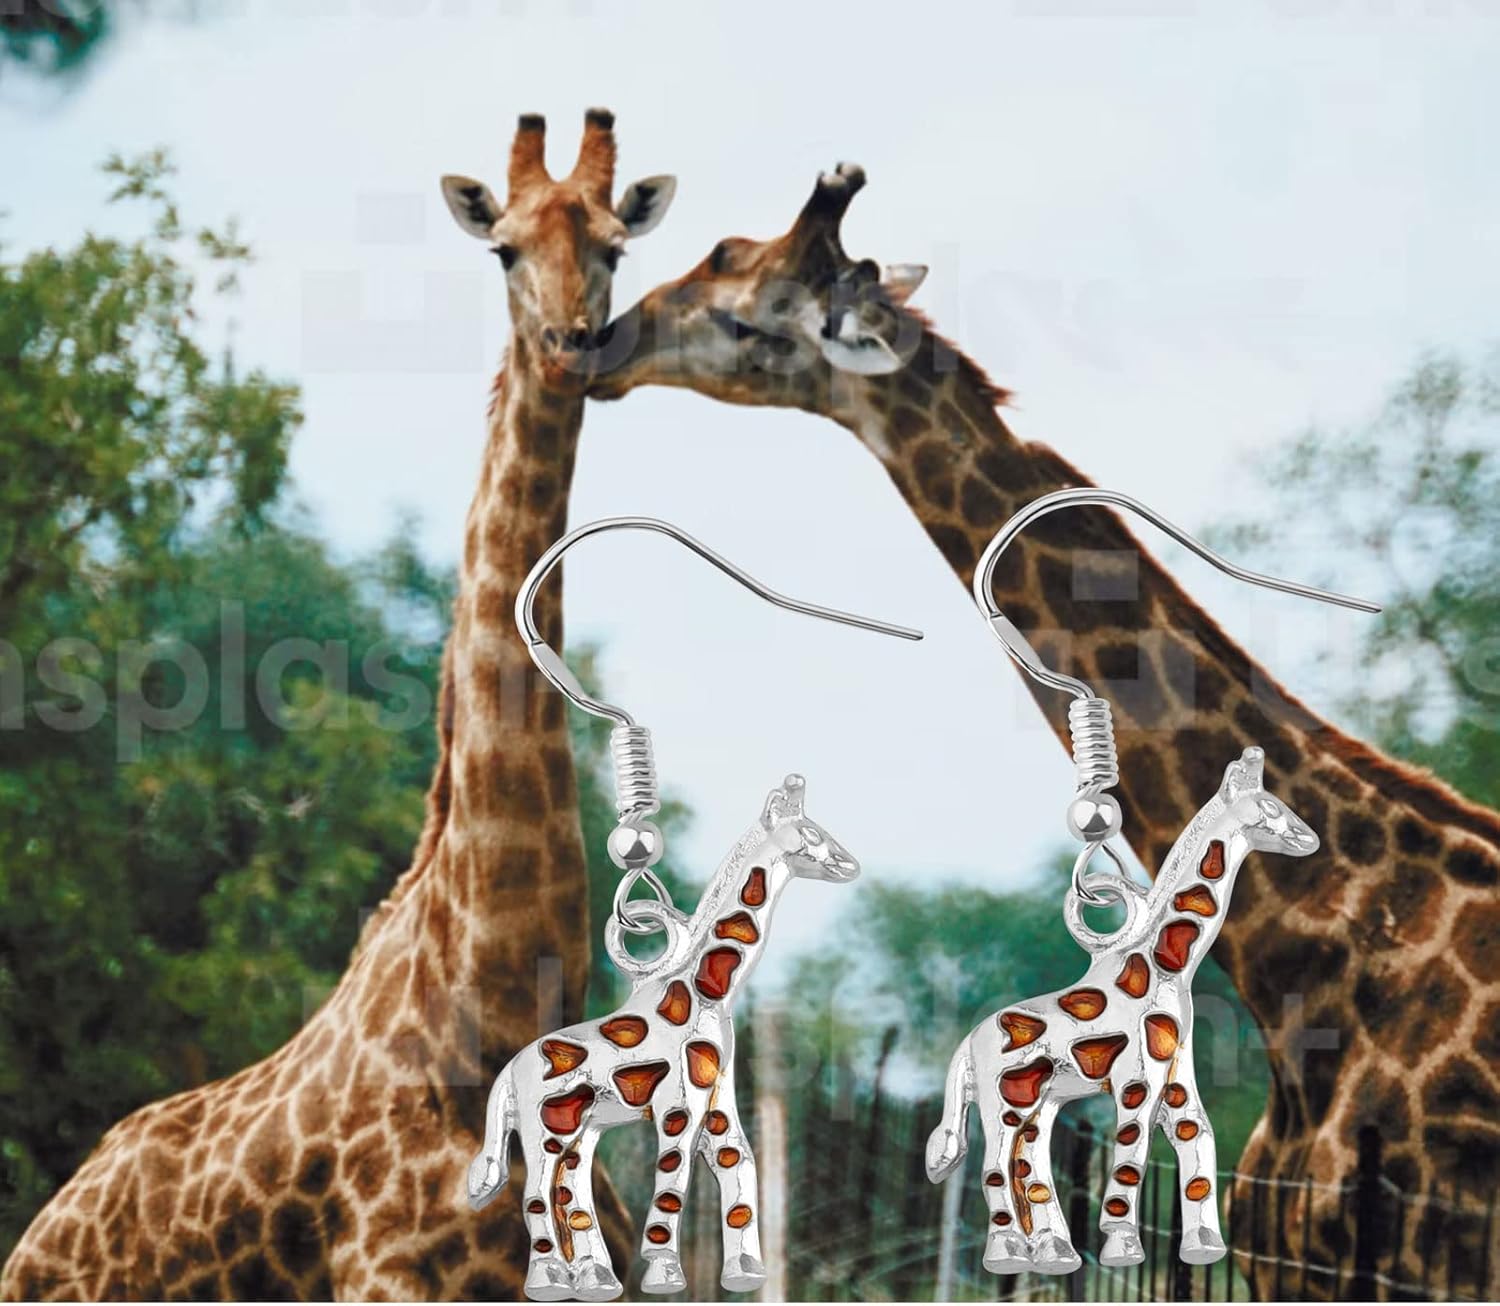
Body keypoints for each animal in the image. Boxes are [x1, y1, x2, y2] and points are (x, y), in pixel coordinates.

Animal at [1, 110, 678, 1300]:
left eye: (612, 246)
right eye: (503, 249)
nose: (571, 344)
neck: (488, 1009)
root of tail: (36, 1235)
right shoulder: (390, 1281)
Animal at [469, 774, 856, 1300]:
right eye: (811, 832)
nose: (849, 864)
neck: (707, 995)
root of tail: (507, 1074)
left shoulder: (716, 1095)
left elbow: (740, 1162)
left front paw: (745, 1272)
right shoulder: (680, 1101)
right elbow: (675, 1179)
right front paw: (664, 1272)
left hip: (578, 1128)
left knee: (570, 1191)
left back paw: (595, 1279)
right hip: (542, 1128)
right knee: (536, 1193)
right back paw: (548, 1279)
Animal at [928, 747, 1319, 1274]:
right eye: (1272, 806)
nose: (1308, 838)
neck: (1166, 970)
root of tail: (967, 1045)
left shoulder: (1175, 1070)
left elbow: (1198, 1135)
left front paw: (1204, 1246)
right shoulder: (1138, 1075)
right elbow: (1133, 1152)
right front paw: (1122, 1247)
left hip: (1038, 1102)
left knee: (1027, 1164)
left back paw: (1055, 1253)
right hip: (1002, 1101)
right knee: (995, 1166)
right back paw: (1007, 1253)